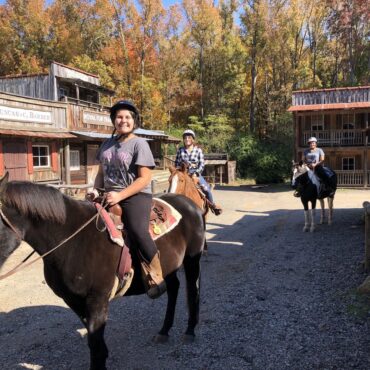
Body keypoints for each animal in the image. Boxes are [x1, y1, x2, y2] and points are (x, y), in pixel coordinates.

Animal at [0, 173, 205, 370]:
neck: (71, 239)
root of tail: (190, 205)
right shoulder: (74, 300)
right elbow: (94, 342)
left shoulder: (97, 299)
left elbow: (95, 344)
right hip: (170, 267)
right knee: (174, 288)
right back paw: (164, 331)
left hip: (192, 260)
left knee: (192, 291)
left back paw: (190, 331)